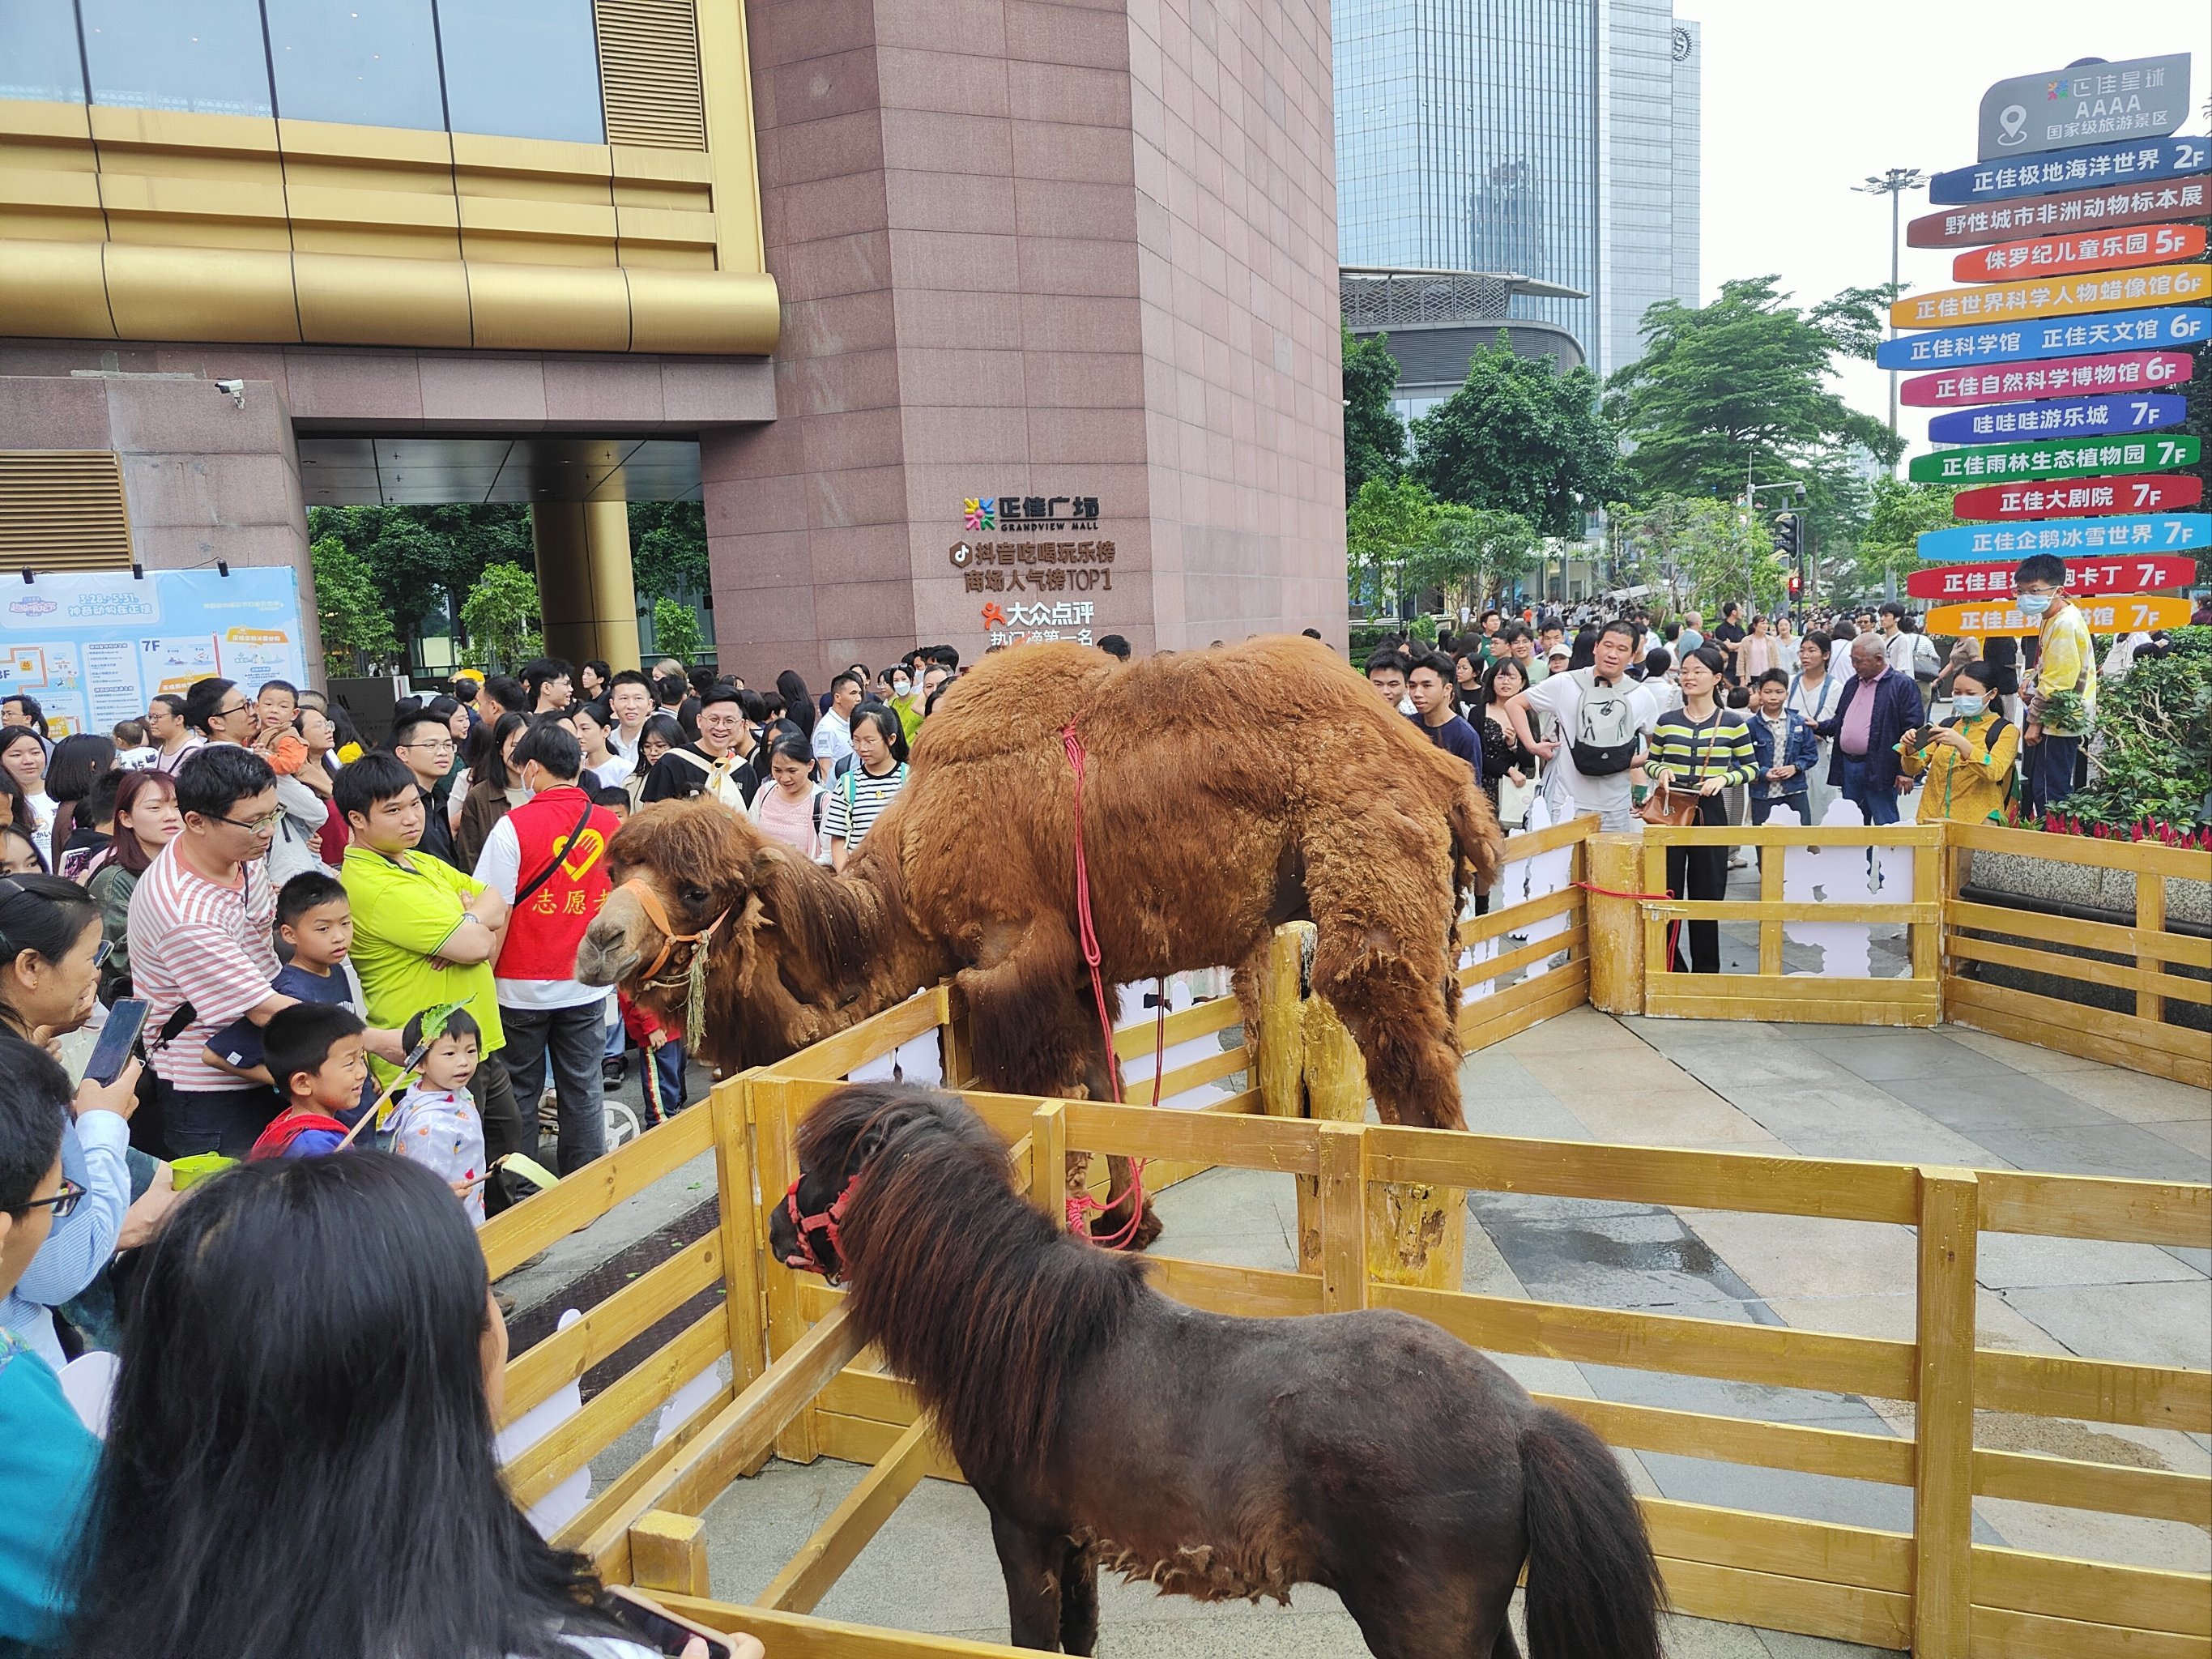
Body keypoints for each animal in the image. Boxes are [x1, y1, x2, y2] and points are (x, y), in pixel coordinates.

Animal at [570, 637, 1504, 1239]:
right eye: (618, 865)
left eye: (693, 889)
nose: (595, 944)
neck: (908, 872)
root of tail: (1441, 769)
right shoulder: (1077, 966)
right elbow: (1103, 1081)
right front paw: (1131, 1222)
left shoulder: (1010, 960)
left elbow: (1046, 1108)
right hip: (1427, 903)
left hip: (1365, 862)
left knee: (1403, 1044)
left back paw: (1415, 1224)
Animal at [774, 1084, 1663, 1654]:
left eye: (826, 1165)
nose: (779, 1228)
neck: (1040, 1340)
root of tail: (1521, 1421)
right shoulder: (1076, 1541)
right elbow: (1077, 1640)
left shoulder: (1023, 1534)